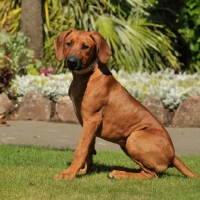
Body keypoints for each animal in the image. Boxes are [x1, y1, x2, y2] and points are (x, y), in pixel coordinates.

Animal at [53, 28, 198, 180]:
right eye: (69, 43)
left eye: (85, 46)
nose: (71, 61)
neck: (87, 75)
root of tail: (173, 156)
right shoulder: (88, 124)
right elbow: (88, 149)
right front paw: (84, 171)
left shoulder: (92, 120)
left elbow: (80, 149)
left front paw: (69, 173)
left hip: (133, 138)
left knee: (151, 175)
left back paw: (118, 173)